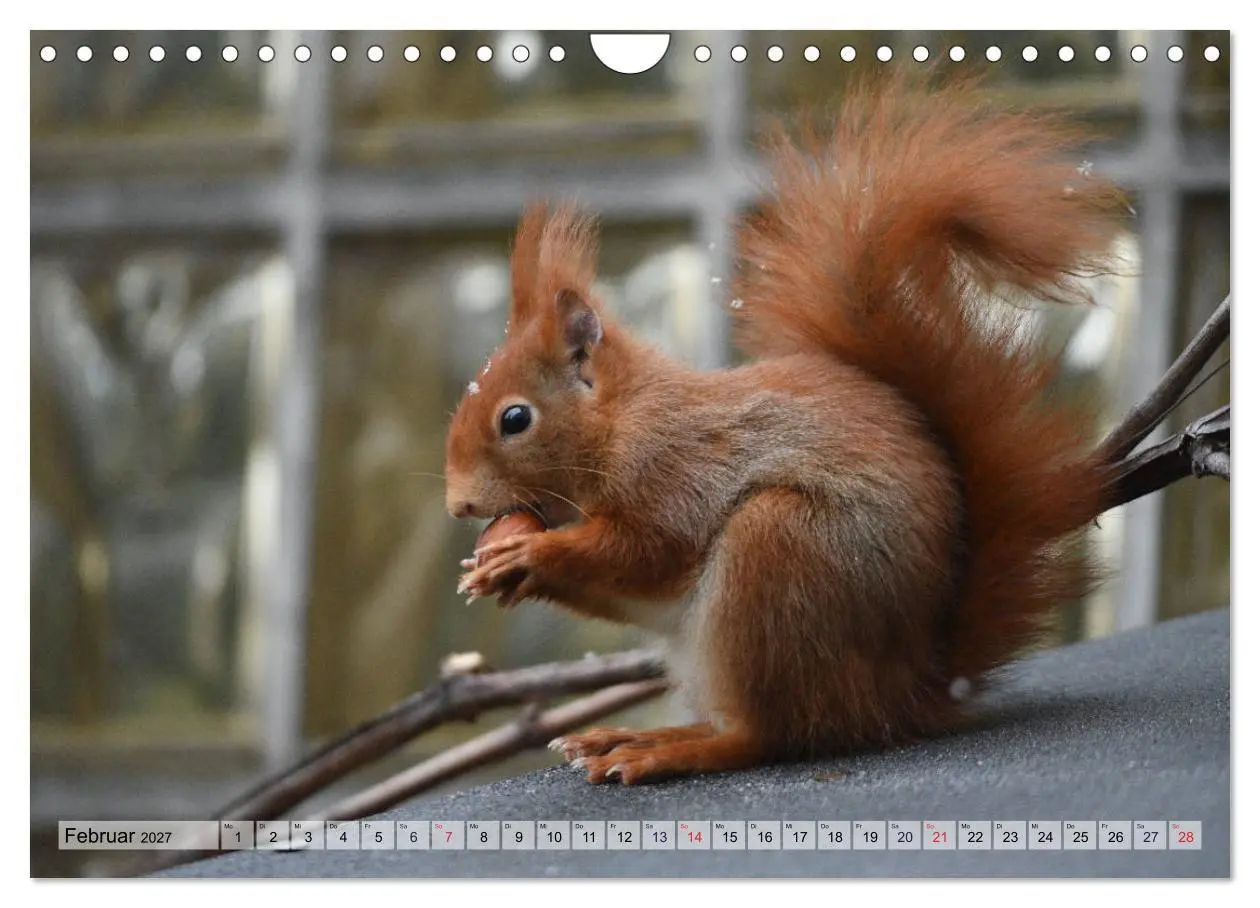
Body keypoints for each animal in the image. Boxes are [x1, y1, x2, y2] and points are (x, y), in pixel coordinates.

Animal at [444, 78, 1123, 784]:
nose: (458, 505)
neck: (620, 422)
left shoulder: (674, 468)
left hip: (778, 557)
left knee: (764, 734)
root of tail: (901, 694)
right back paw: (628, 735)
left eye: (515, 419)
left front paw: (530, 556)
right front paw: (492, 571)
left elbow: (647, 551)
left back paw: (668, 749)